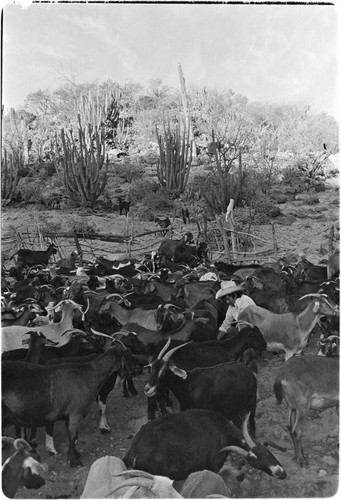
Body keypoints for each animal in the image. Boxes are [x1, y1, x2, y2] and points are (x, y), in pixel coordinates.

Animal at [1, 342, 129, 466]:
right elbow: (72, 436)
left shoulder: (69, 415)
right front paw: (74, 461)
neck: (90, 375)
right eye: (125, 355)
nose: (127, 373)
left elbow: (74, 436)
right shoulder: (75, 412)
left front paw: (76, 455)